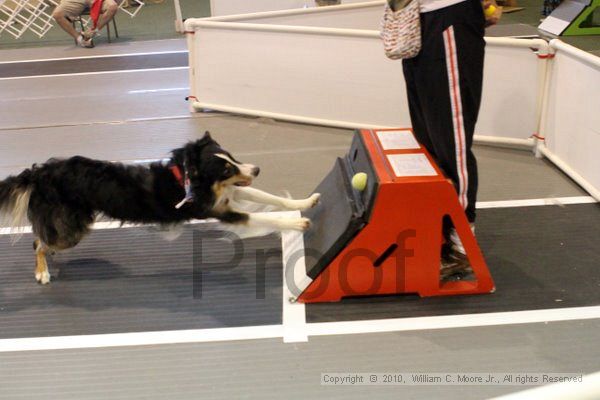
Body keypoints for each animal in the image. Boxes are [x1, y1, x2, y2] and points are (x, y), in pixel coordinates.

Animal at [0, 132, 322, 284]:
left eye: (233, 157)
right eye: (225, 169)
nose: (256, 169)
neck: (189, 178)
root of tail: (39, 172)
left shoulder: (227, 197)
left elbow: (271, 198)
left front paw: (304, 203)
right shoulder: (220, 210)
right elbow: (262, 216)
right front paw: (297, 224)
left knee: (42, 237)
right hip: (75, 229)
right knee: (38, 243)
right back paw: (42, 273)